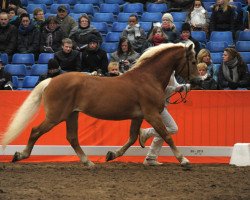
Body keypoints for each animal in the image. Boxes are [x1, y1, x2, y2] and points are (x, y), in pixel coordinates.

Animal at [0, 43, 199, 167]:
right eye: (193, 61)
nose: (197, 80)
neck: (148, 78)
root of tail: (51, 80)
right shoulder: (151, 114)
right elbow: (167, 135)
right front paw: (184, 160)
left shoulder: (139, 116)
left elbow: (133, 137)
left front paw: (112, 155)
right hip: (56, 116)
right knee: (36, 131)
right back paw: (20, 155)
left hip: (71, 115)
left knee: (72, 138)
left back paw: (88, 162)